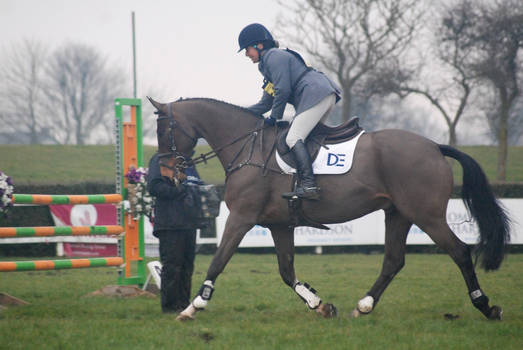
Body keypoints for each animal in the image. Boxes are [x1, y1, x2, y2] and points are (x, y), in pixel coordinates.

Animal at [148, 95, 512, 320]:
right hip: (398, 214)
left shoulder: (241, 217)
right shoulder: (279, 225)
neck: (248, 147)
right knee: (394, 261)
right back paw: (363, 306)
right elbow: (287, 271)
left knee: (460, 252)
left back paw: (486, 306)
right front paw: (319, 305)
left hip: (427, 215)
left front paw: (193, 307)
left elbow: (218, 262)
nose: (166, 175)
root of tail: (435, 146)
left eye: (163, 131)